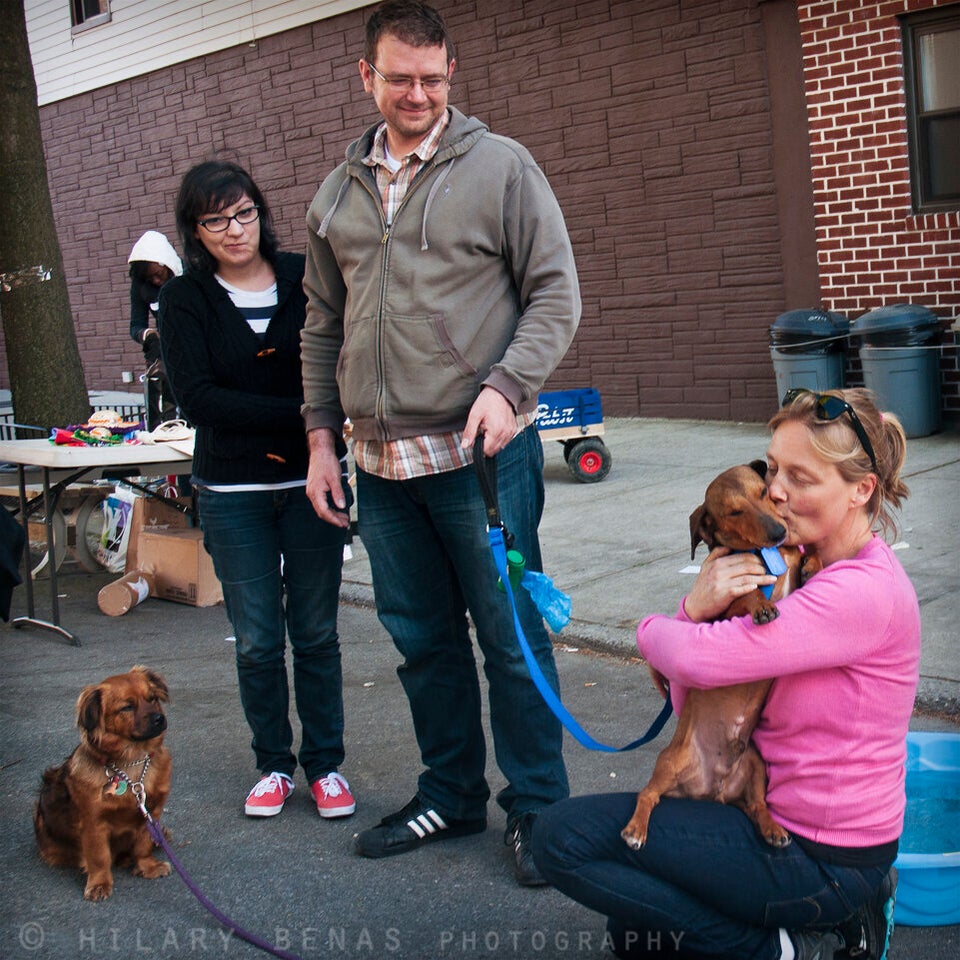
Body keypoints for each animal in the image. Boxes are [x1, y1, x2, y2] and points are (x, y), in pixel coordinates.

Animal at [33, 668, 172, 900]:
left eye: (152, 699)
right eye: (127, 707)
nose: (159, 719)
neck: (133, 761)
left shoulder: (150, 811)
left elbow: (143, 844)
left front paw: (148, 866)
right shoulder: (93, 822)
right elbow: (99, 856)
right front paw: (99, 883)